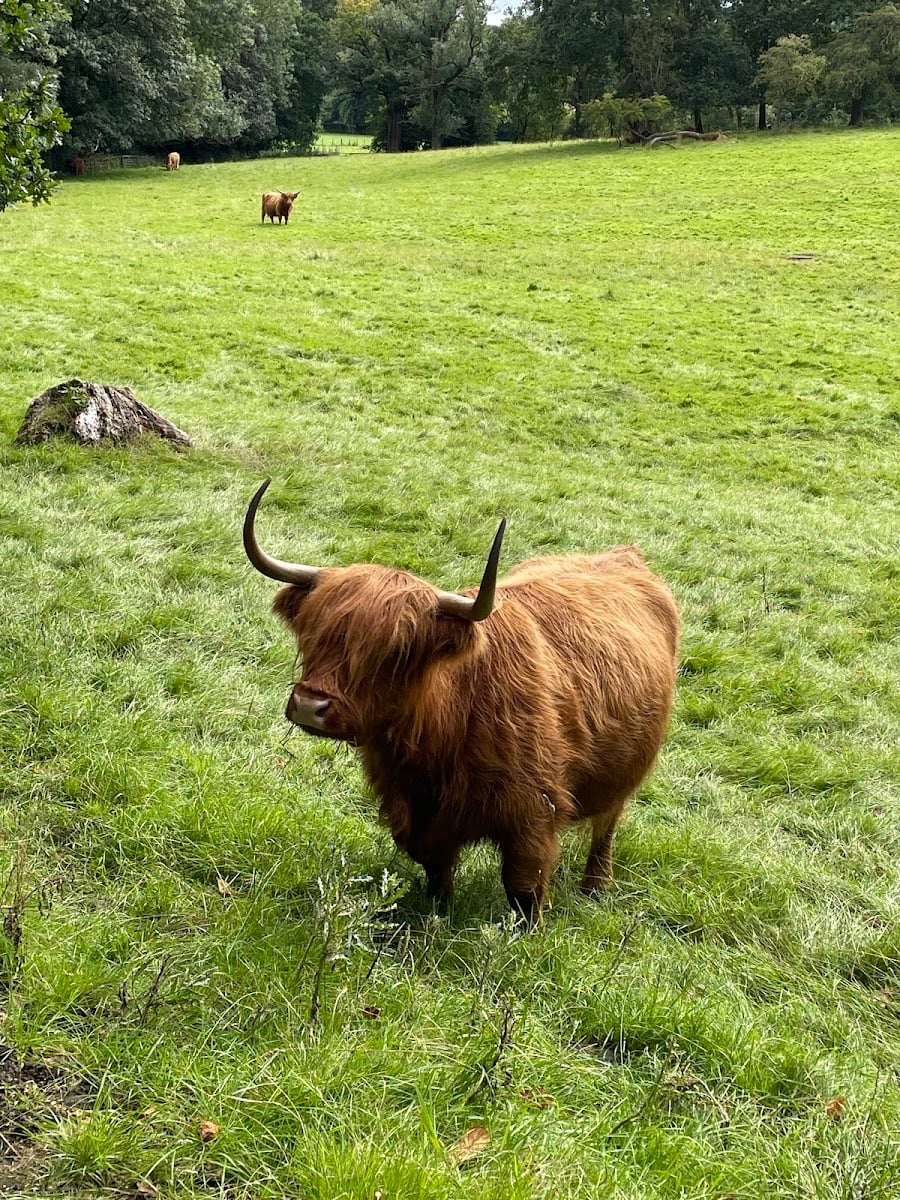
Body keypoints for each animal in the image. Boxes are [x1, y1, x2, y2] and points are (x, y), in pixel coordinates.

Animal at [243, 480, 680, 921]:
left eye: (398, 651)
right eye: (311, 631)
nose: (309, 706)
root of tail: (623, 555)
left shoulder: (535, 814)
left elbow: (524, 890)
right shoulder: (416, 815)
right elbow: (436, 873)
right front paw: (438, 916)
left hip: (625, 770)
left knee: (607, 825)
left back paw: (596, 887)